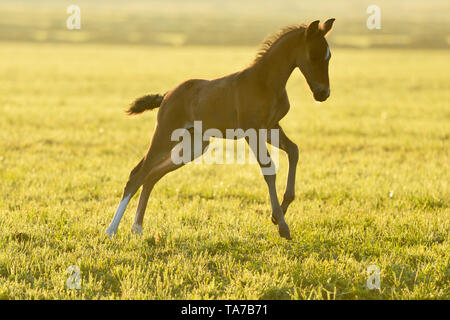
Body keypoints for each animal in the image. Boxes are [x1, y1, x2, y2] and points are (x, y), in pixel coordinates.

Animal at [107, 18, 336, 240]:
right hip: (165, 134)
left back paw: (137, 228)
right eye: (314, 55)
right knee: (138, 174)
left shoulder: (271, 127)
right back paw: (111, 230)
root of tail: (167, 95)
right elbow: (269, 169)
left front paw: (280, 211)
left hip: (194, 145)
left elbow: (294, 151)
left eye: (329, 56)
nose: (323, 93)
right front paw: (282, 225)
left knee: (152, 175)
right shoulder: (252, 131)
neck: (265, 82)